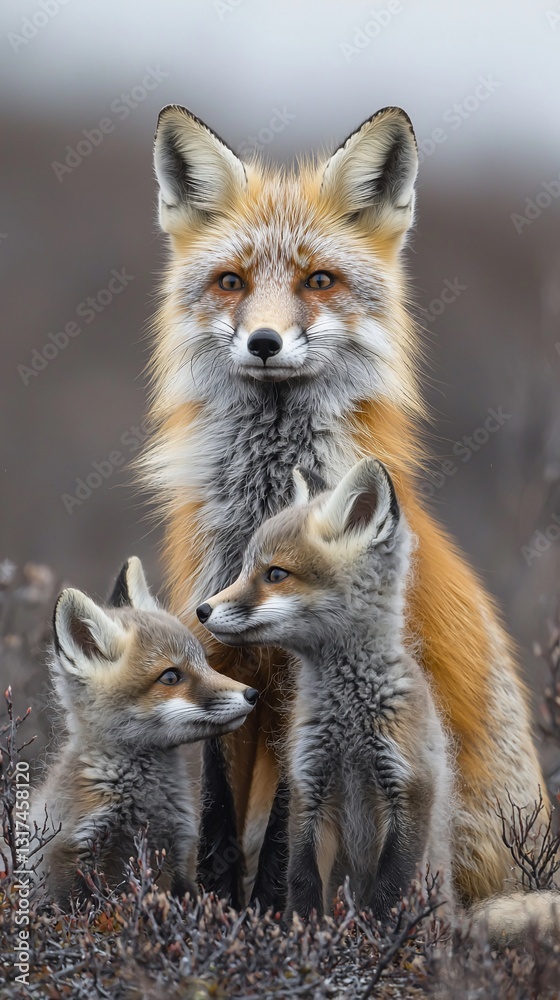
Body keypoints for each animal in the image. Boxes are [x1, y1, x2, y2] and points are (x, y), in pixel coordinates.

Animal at [29, 557, 258, 907]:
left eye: (205, 663)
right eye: (171, 677)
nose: (253, 694)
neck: (145, 807)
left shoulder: (176, 858)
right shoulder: (69, 860)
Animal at [197, 458, 455, 922]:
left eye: (275, 574)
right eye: (244, 569)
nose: (202, 610)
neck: (349, 722)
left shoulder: (411, 789)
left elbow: (389, 893)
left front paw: (375, 938)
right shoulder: (307, 790)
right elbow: (301, 883)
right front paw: (310, 934)